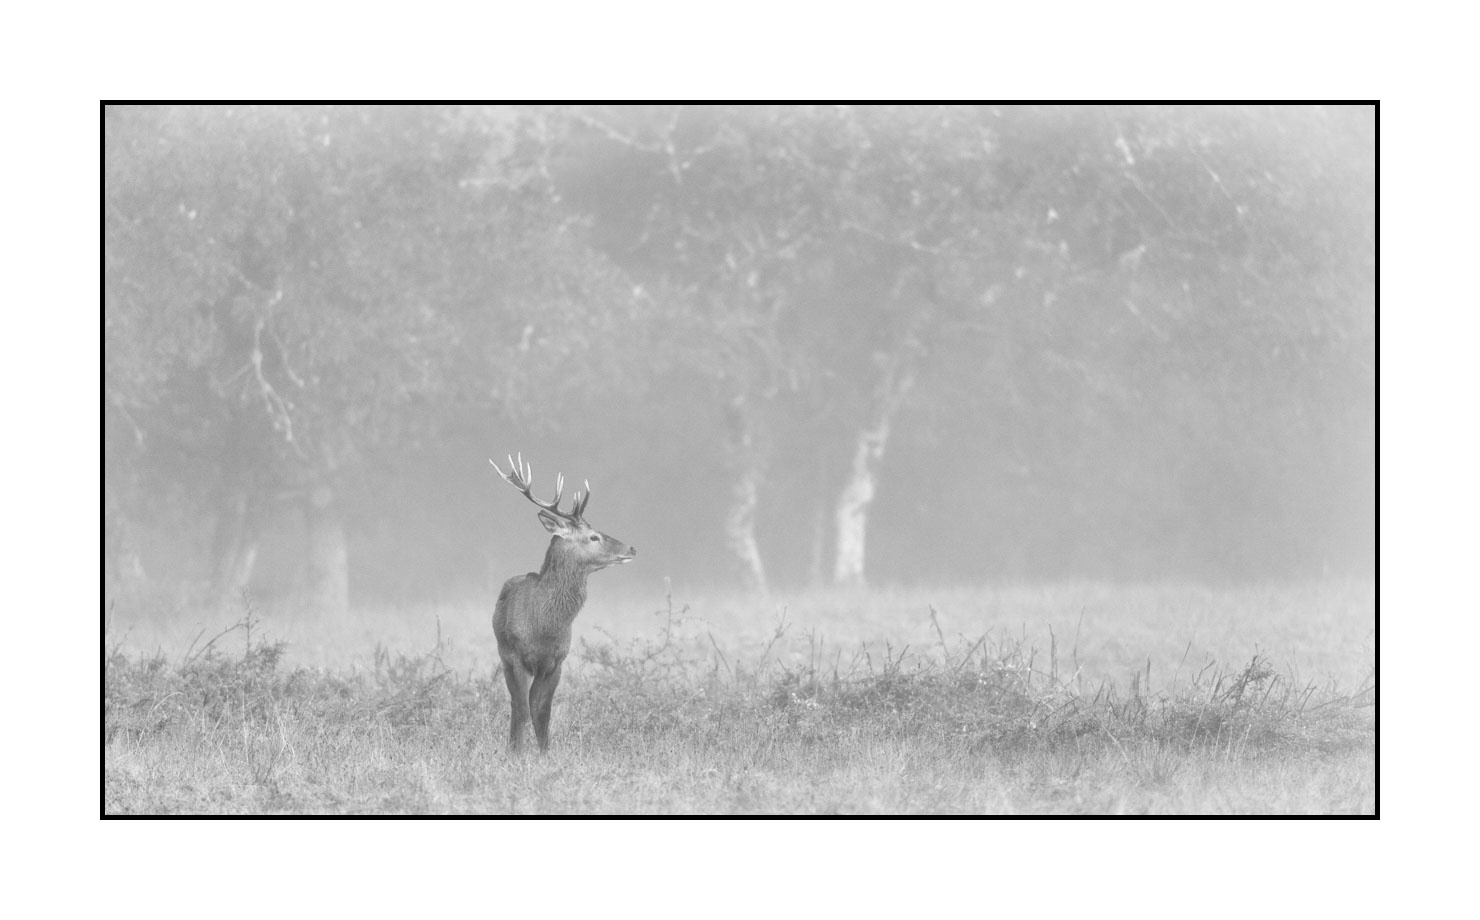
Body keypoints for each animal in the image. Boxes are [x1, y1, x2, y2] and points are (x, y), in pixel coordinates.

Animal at [489, 453, 636, 752]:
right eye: (594, 536)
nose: (631, 548)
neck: (543, 625)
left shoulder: (556, 662)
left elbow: (542, 711)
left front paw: (545, 754)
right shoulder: (517, 658)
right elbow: (522, 709)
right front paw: (516, 754)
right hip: (504, 655)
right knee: (516, 705)